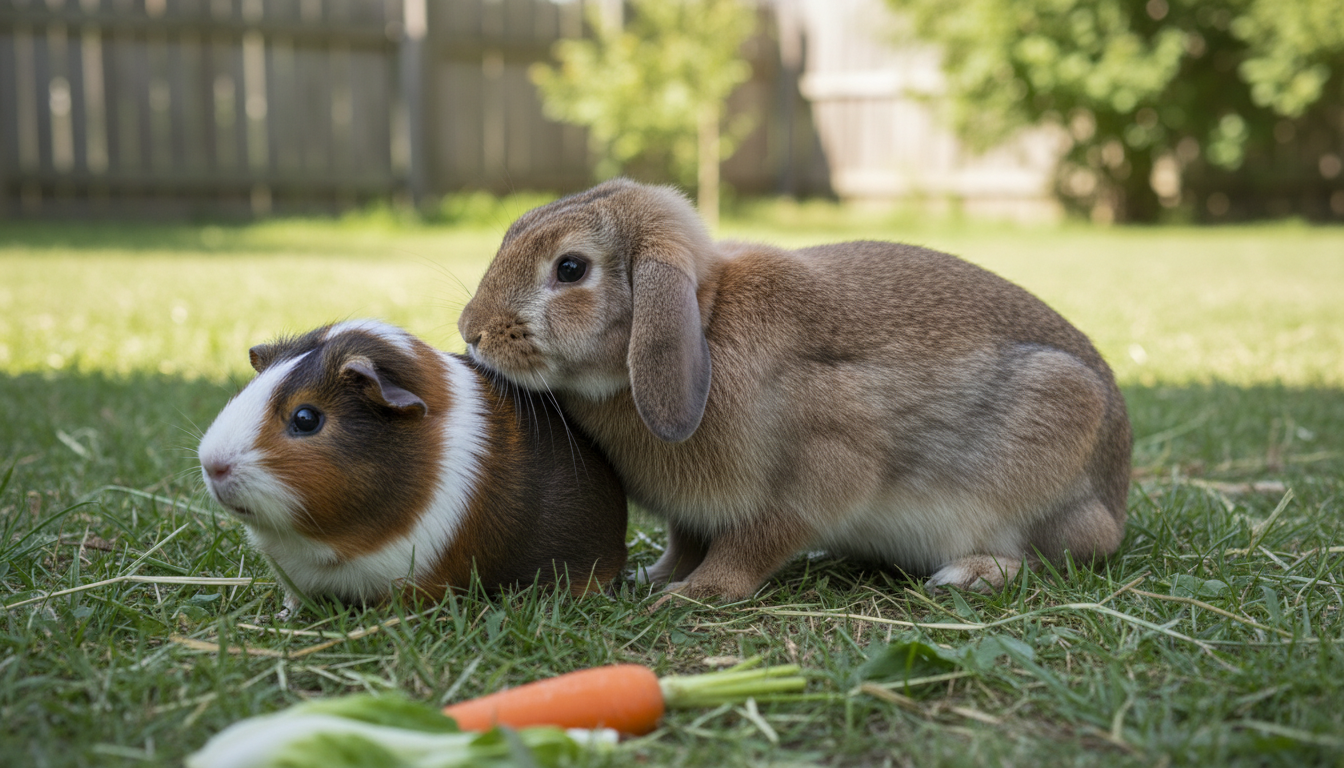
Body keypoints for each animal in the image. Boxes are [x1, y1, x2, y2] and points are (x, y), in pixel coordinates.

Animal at [197, 319, 628, 617]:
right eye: (246, 390)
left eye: (306, 418)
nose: (212, 464)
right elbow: (295, 597)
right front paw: (284, 615)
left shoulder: (413, 578)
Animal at [457, 179, 1132, 601]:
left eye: (571, 269)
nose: (471, 331)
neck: (707, 325)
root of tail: (1116, 489)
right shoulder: (693, 513)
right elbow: (684, 541)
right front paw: (654, 579)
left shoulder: (817, 475)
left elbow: (755, 543)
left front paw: (694, 595)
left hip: (1050, 437)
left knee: (1063, 552)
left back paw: (971, 575)